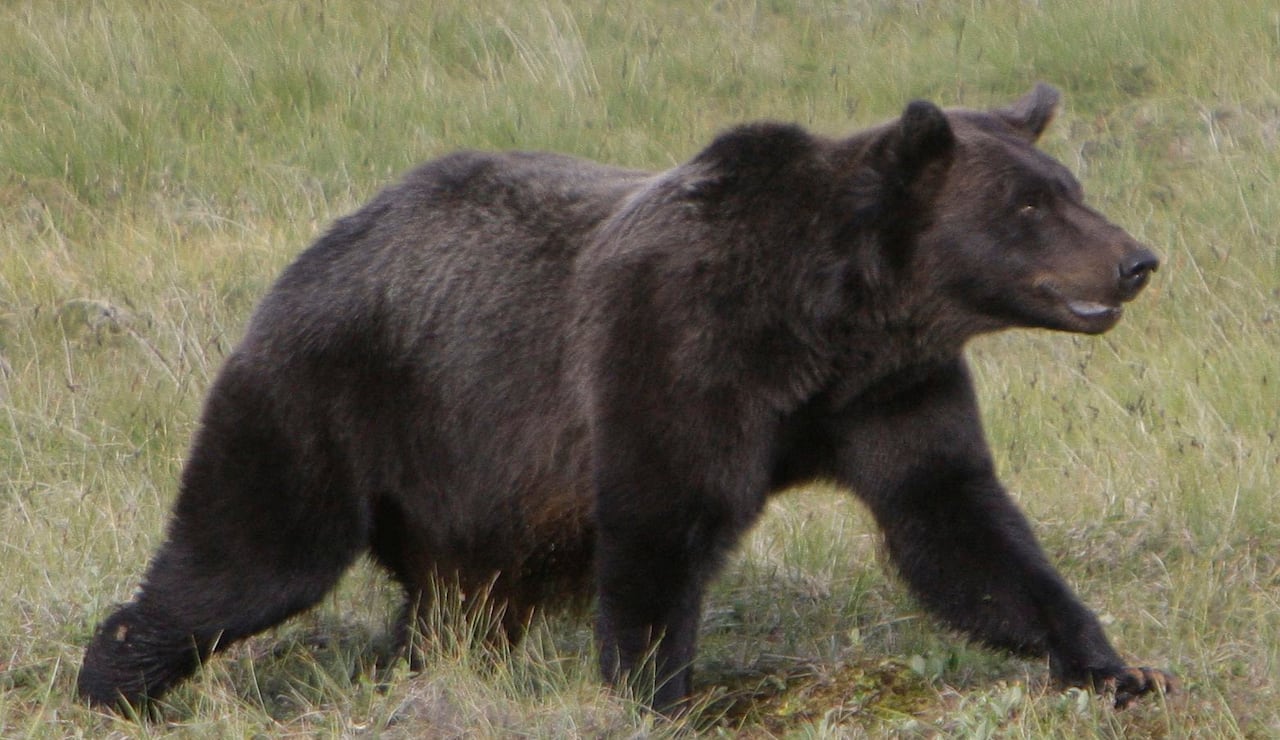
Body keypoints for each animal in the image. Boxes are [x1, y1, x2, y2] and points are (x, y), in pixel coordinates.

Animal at [79, 83, 1175, 714]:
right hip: (336, 399)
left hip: (474, 491)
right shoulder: (677, 351)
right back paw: (116, 681)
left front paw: (1115, 663)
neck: (828, 321)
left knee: (454, 608)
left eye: (1067, 184)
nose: (1135, 260)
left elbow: (958, 526)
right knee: (251, 553)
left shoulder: (889, 394)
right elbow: (661, 526)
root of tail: (310, 251)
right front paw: (660, 695)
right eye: (1028, 205)